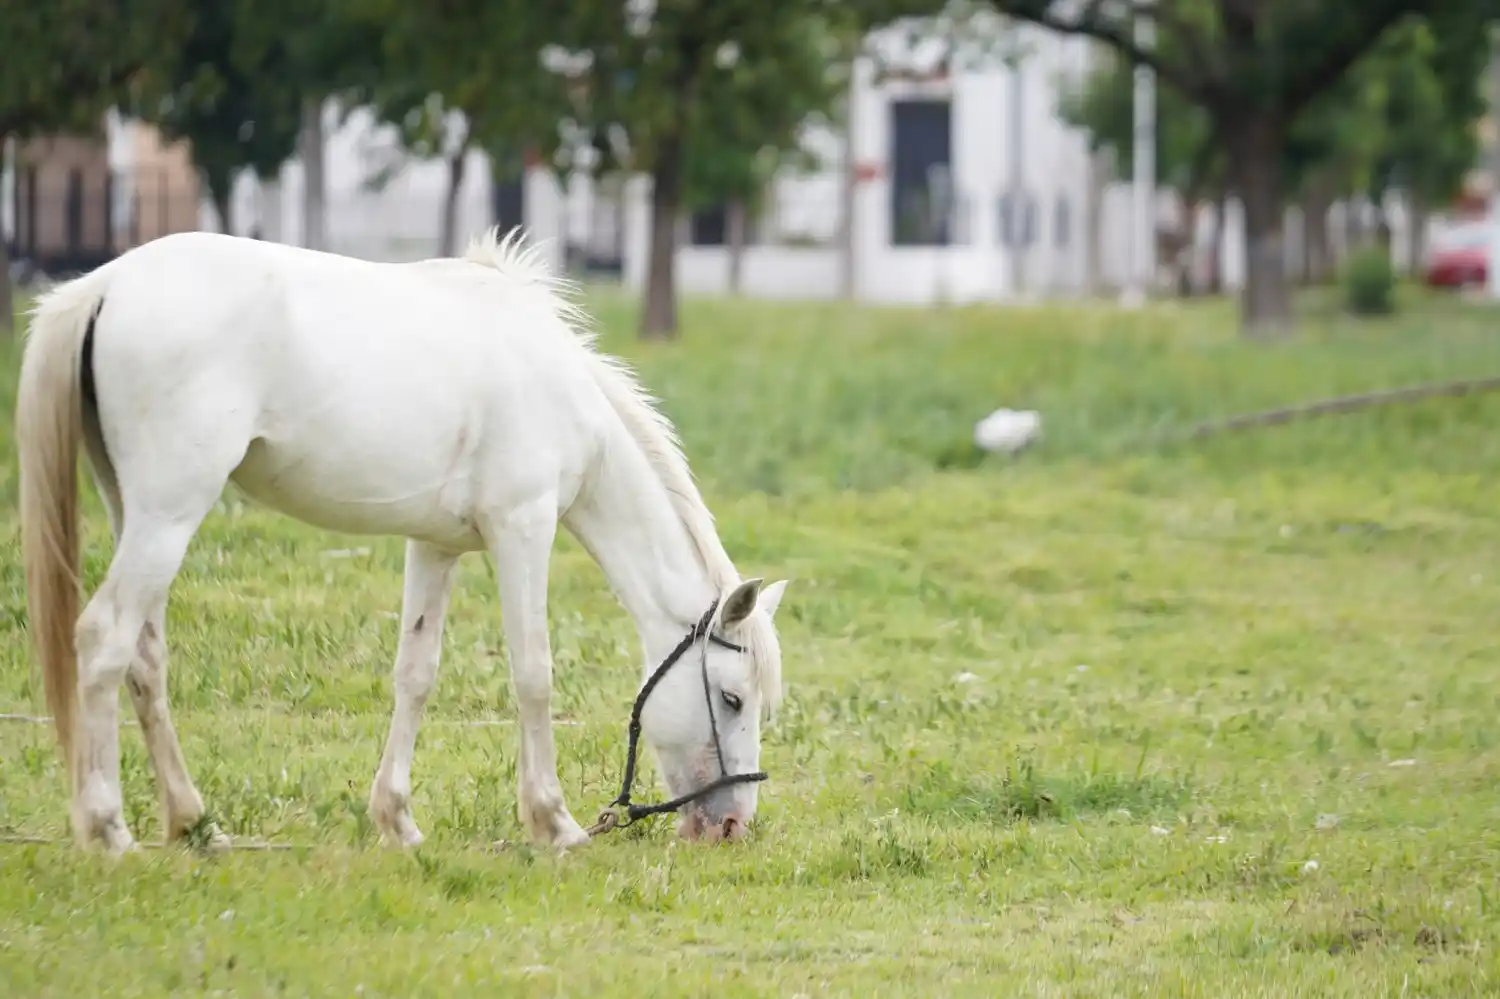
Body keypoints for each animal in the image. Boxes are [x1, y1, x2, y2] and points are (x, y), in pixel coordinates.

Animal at [15, 227, 789, 854]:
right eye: (731, 699)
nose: (732, 824)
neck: (559, 389)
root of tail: (104, 285)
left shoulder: (435, 545)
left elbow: (415, 673)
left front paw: (397, 820)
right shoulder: (523, 528)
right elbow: (533, 673)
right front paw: (555, 822)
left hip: (137, 512)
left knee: (145, 657)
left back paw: (193, 823)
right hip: (170, 512)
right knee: (105, 639)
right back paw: (109, 829)